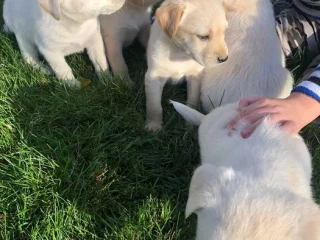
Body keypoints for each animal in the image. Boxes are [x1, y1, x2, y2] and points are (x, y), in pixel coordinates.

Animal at [144, 0, 229, 131]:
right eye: (203, 37)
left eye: (223, 33)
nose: (224, 59)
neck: (180, 53)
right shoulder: (154, 77)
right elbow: (154, 105)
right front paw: (154, 126)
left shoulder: (195, 77)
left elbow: (192, 100)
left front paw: (190, 125)